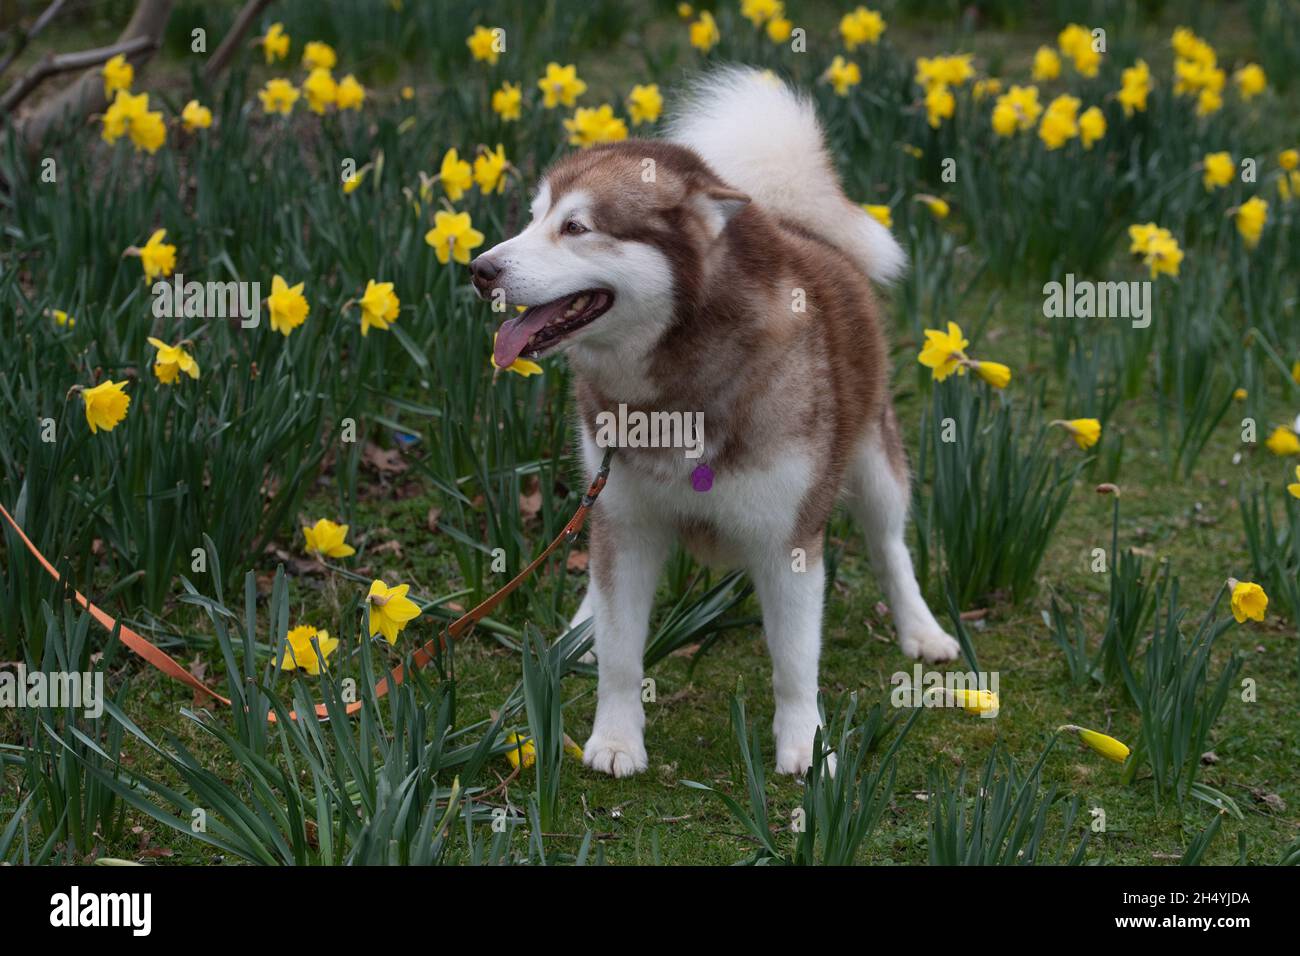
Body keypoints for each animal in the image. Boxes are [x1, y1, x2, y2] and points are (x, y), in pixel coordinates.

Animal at [473, 67, 961, 780]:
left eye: (576, 226)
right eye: (534, 219)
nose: (479, 269)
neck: (676, 392)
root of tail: (796, 220)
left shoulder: (790, 538)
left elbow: (795, 664)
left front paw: (804, 745)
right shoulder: (626, 519)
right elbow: (621, 652)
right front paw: (616, 738)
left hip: (873, 459)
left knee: (890, 544)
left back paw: (921, 628)